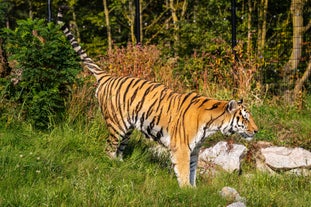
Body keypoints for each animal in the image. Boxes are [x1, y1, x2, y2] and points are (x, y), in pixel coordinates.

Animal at [58, 6, 258, 188]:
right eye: (245, 118)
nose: (256, 131)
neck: (212, 125)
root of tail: (107, 76)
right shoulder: (182, 148)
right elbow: (184, 171)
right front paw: (186, 191)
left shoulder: (194, 150)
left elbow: (193, 170)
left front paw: (194, 189)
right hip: (116, 125)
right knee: (109, 148)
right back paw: (111, 166)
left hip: (127, 127)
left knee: (119, 149)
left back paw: (121, 164)